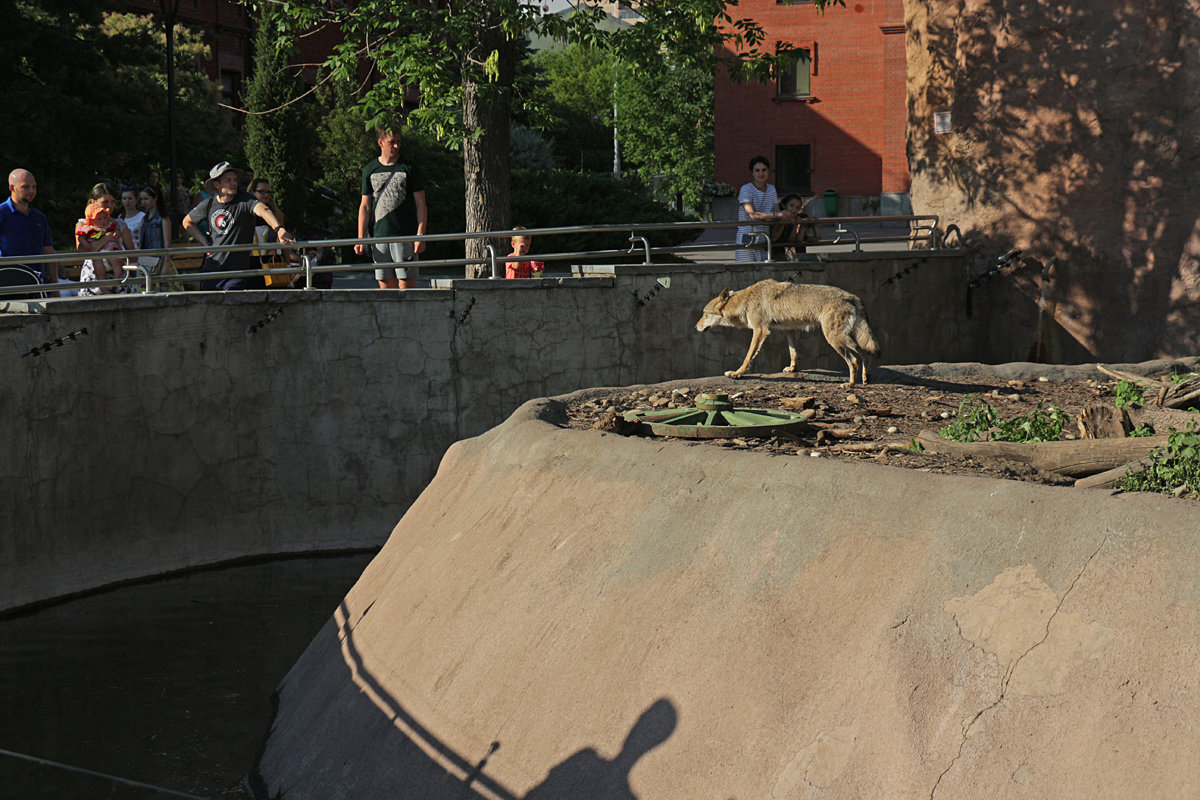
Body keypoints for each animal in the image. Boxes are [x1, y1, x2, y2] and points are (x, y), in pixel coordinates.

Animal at [696, 280, 883, 386]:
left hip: (834, 339)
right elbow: (794, 353)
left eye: (704, 313)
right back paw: (865, 379)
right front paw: (793, 369)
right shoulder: (789, 330)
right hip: (843, 338)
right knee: (864, 353)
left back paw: (850, 384)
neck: (746, 301)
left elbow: (748, 356)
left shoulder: (759, 331)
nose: (696, 326)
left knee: (854, 360)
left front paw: (737, 374)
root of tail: (853, 297)